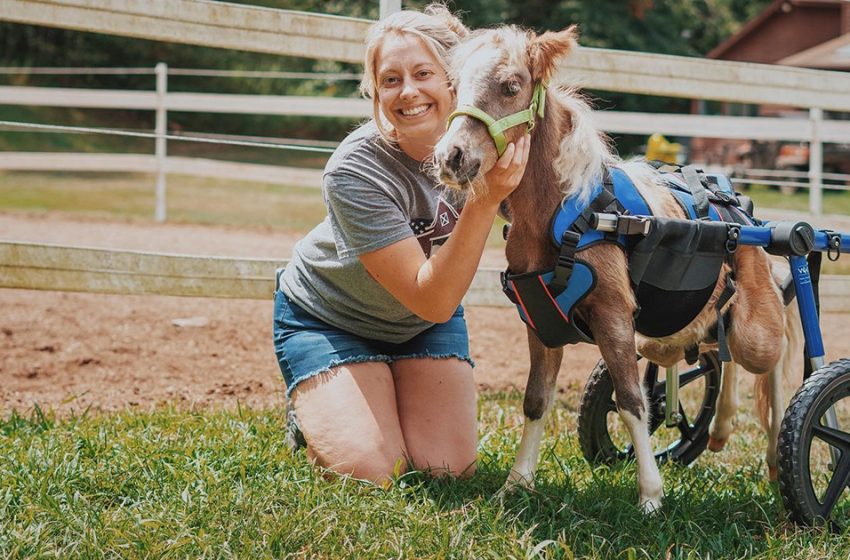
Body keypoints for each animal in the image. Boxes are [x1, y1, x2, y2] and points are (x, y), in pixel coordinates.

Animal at [434, 24, 800, 510]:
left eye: (511, 86)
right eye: (454, 84)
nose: (451, 157)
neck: (569, 213)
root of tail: (740, 211)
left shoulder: (612, 316)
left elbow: (631, 401)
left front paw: (650, 496)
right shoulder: (541, 324)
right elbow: (536, 401)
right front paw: (517, 483)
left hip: (754, 330)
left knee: (773, 349)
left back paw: (778, 453)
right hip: (678, 330)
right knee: (714, 347)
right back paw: (721, 428)